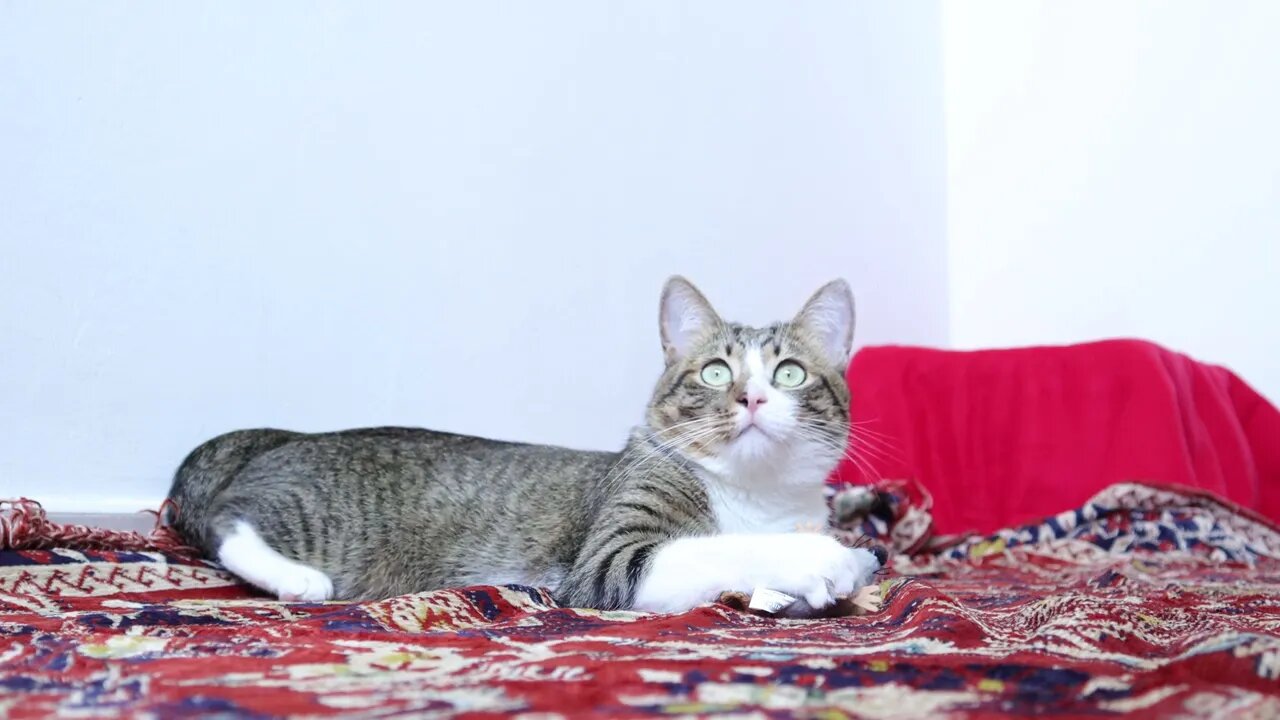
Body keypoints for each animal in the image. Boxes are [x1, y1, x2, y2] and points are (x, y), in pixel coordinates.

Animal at [167, 274, 880, 609]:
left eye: (788, 374)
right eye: (714, 372)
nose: (752, 398)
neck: (756, 497)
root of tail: (276, 439)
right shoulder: (608, 561)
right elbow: (716, 548)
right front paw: (829, 560)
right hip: (317, 517)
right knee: (226, 522)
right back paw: (298, 579)